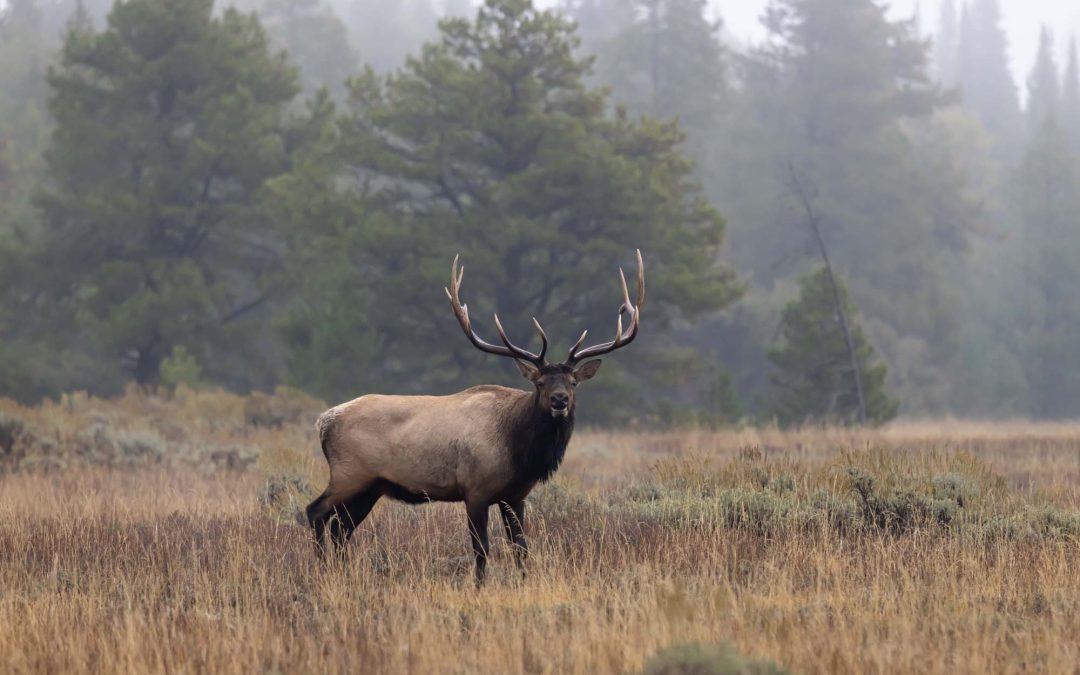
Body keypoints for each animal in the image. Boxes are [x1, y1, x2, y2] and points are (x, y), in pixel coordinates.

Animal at [305, 250, 644, 585]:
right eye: (540, 382)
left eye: (573, 382)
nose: (559, 400)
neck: (520, 451)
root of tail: (324, 421)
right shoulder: (475, 490)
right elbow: (482, 547)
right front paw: (480, 586)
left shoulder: (515, 496)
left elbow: (520, 547)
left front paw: (523, 582)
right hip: (349, 474)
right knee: (316, 513)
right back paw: (321, 571)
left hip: (371, 486)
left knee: (341, 528)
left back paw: (341, 574)